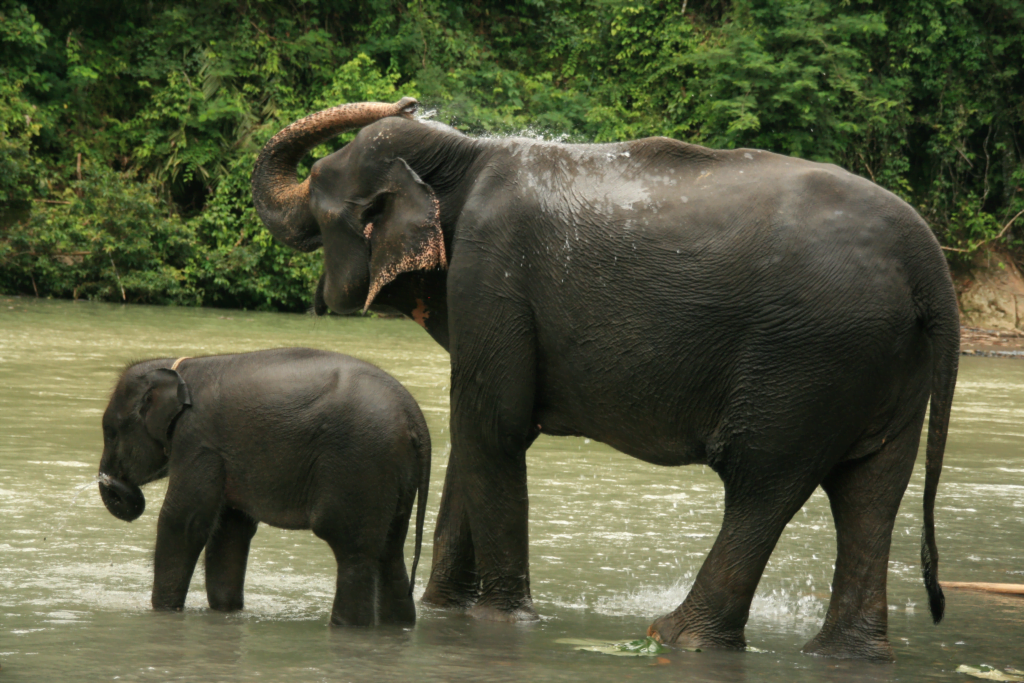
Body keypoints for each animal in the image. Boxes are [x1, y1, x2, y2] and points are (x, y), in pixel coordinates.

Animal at [96, 350, 428, 626]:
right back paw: (398, 627)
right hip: (395, 475)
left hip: (360, 464)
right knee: (390, 553)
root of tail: (414, 418)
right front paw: (226, 611)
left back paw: (347, 627)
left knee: (353, 551)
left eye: (110, 432)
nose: (111, 481)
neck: (181, 369)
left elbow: (183, 522)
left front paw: (162, 612)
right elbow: (230, 531)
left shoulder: (198, 441)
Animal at [251, 98, 954, 659]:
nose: (408, 99)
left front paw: (499, 623)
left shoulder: (489, 269)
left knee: (766, 481)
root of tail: (928, 258)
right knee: (869, 490)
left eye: (317, 186)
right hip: (884, 360)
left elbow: (493, 429)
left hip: (808, 356)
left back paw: (674, 638)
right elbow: (473, 434)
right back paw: (842, 655)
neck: (463, 155)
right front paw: (441, 614)